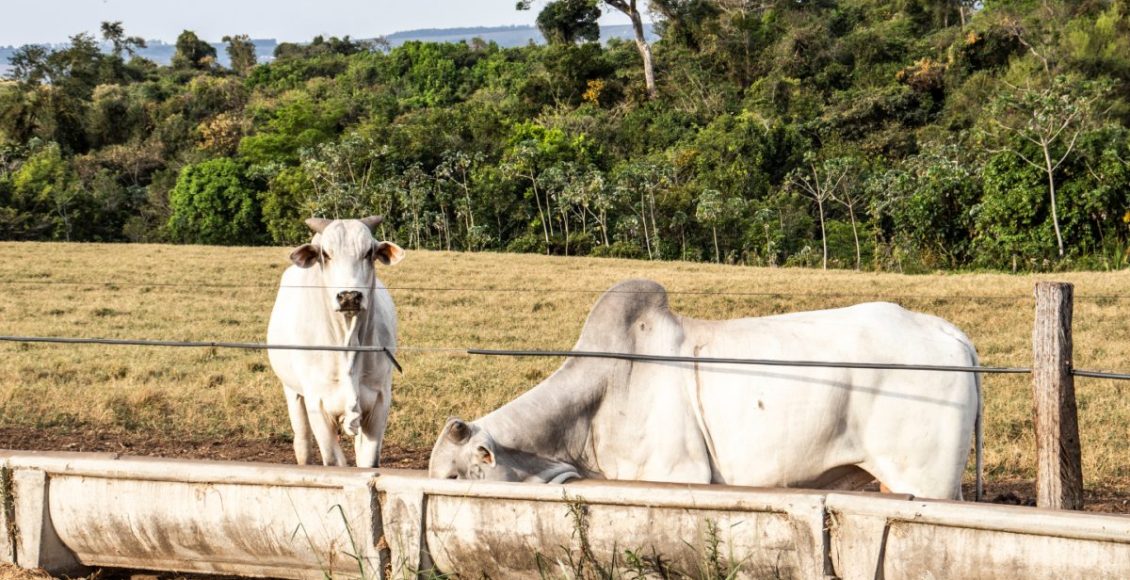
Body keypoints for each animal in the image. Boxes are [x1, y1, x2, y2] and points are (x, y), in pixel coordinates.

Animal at [266, 215, 404, 465]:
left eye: (368, 252)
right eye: (326, 254)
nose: (349, 296)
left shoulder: (379, 404)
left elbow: (368, 461)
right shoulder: (317, 406)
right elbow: (333, 462)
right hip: (292, 392)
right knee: (302, 443)